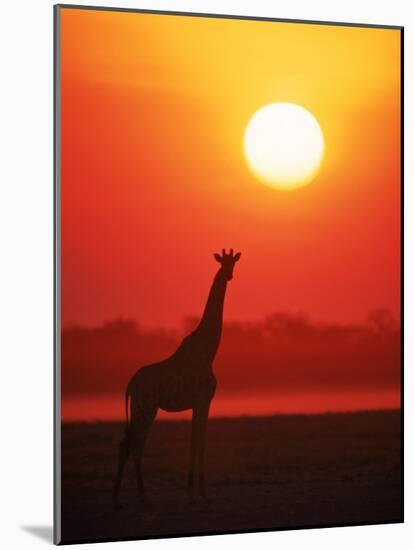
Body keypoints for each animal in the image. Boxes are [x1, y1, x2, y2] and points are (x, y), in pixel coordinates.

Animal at [112, 250, 243, 508]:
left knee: (126, 443)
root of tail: (130, 385)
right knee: (136, 444)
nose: (228, 275)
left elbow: (195, 442)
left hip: (140, 407)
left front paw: (193, 491)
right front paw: (199, 493)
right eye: (222, 263)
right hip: (146, 407)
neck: (208, 352)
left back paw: (119, 498)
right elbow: (199, 443)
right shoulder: (203, 400)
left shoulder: (199, 403)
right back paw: (143, 496)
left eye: (233, 263)